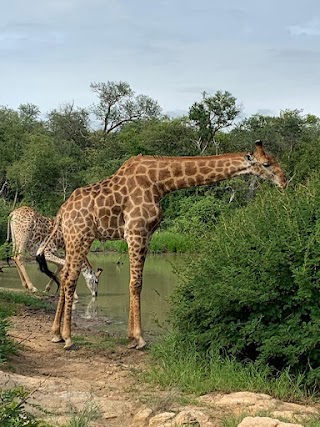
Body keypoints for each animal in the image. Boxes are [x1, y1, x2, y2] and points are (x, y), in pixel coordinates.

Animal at [37, 140, 288, 352]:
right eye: (267, 164)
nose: (284, 182)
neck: (161, 181)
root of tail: (62, 212)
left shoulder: (144, 235)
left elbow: (133, 282)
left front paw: (130, 338)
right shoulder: (136, 231)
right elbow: (136, 283)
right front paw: (139, 339)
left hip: (72, 240)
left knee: (66, 274)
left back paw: (55, 333)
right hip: (81, 237)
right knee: (70, 279)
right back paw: (68, 337)